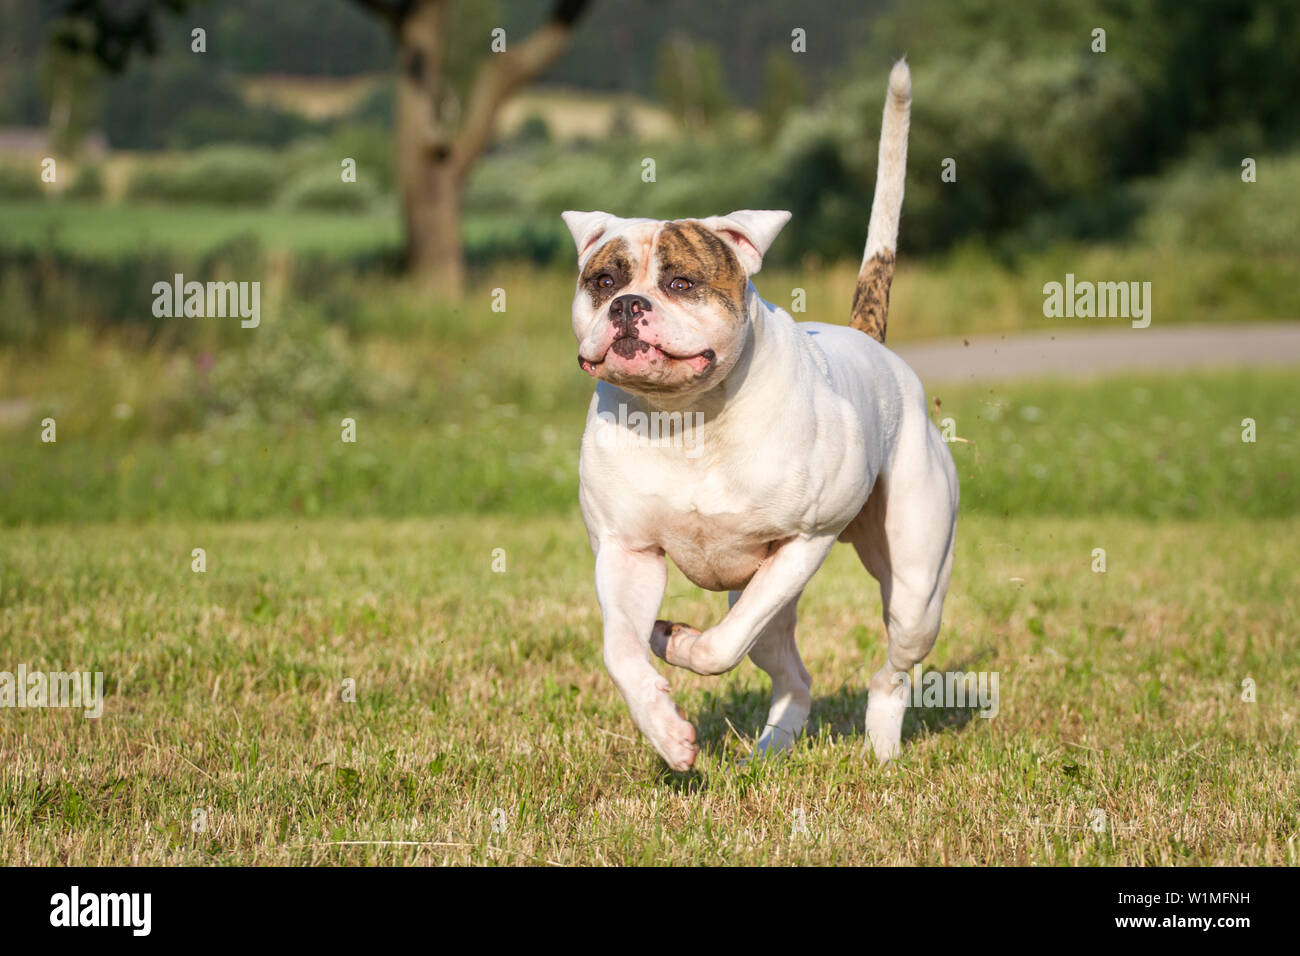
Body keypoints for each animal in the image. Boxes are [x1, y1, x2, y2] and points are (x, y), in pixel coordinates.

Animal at [559, 61, 956, 770]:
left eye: (682, 283)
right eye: (603, 282)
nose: (629, 305)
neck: (686, 420)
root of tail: (874, 346)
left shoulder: (806, 540)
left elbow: (721, 645)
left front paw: (678, 642)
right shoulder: (627, 552)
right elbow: (621, 651)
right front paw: (666, 728)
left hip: (913, 589)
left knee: (890, 670)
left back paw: (882, 748)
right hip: (773, 606)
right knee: (793, 675)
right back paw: (771, 748)